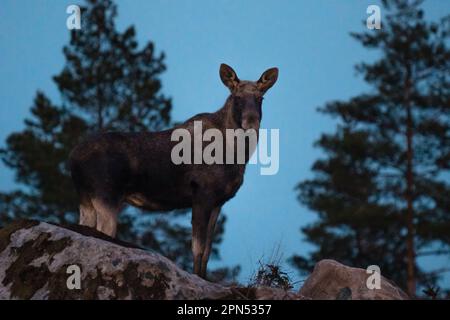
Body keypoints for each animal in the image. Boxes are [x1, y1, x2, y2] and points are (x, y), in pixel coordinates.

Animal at [69, 64, 278, 278]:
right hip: (106, 196)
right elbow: (198, 249)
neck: (237, 155)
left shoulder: (219, 202)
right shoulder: (202, 194)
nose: (251, 121)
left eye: (261, 98)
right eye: (237, 98)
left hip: (86, 199)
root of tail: (73, 158)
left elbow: (208, 251)